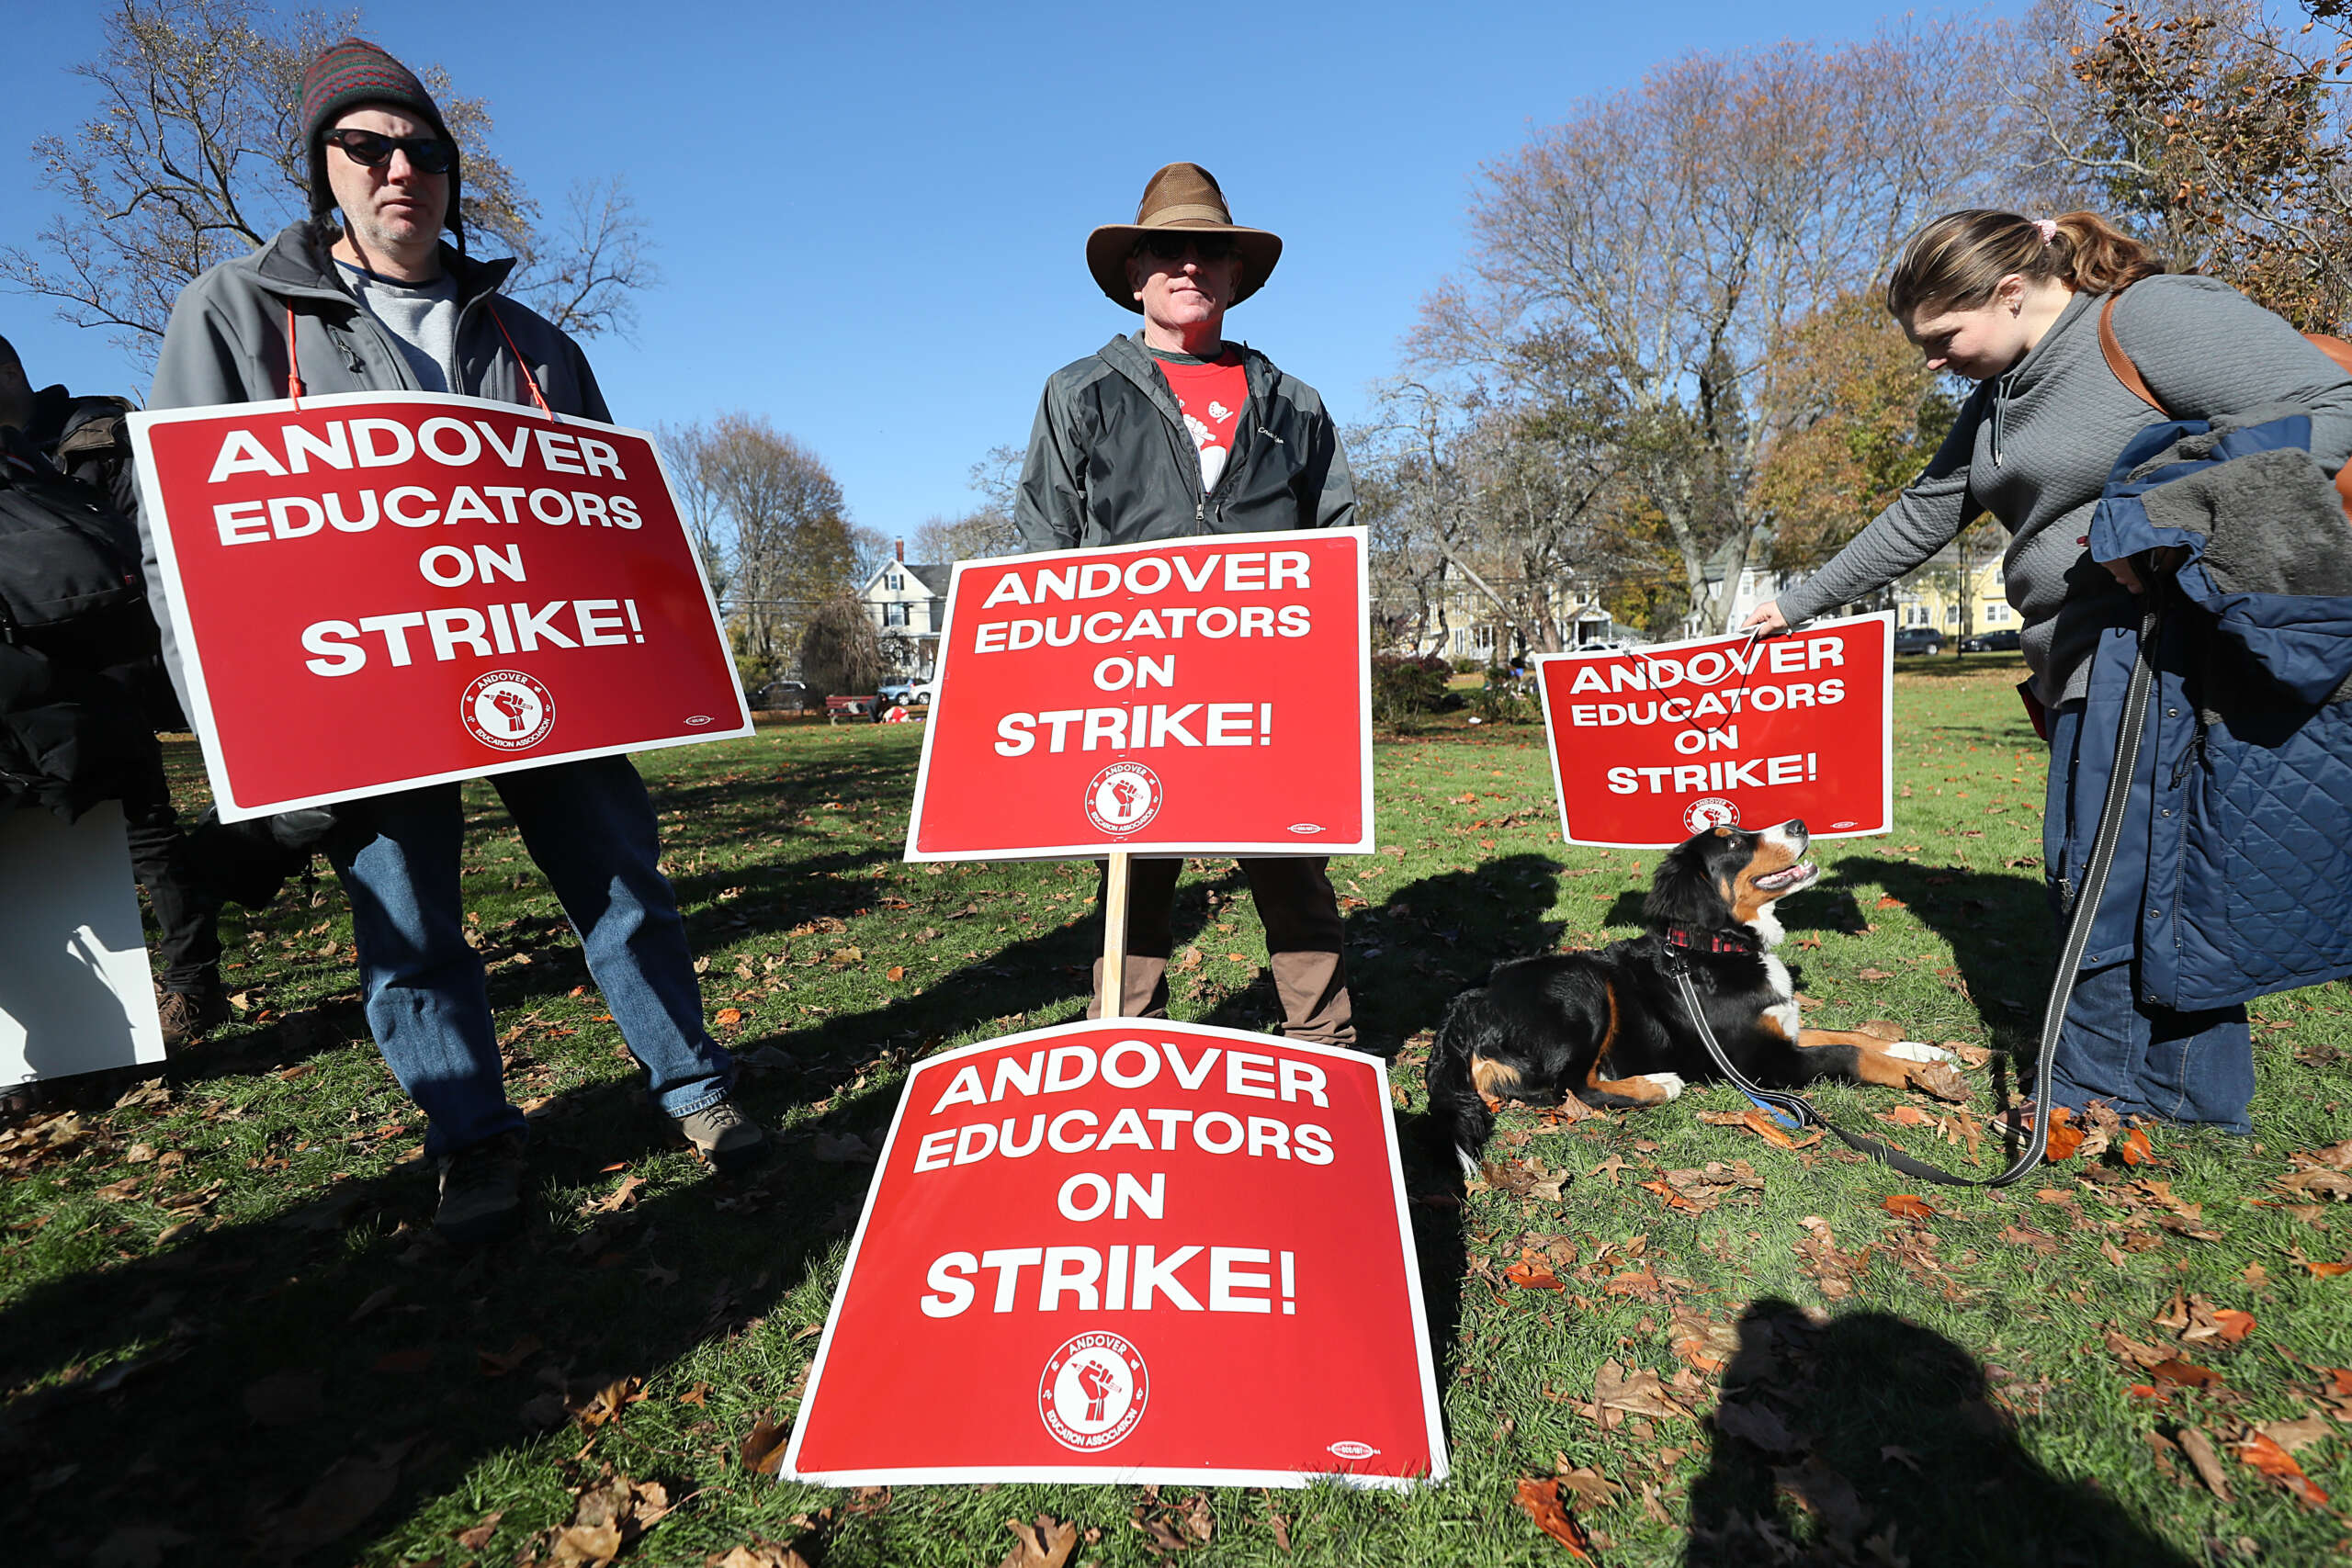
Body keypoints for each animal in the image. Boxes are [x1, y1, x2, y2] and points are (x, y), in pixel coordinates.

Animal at [1420, 822, 1956, 1175]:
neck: (1716, 948)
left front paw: (1926, 1054)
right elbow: (1850, 1053)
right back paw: (1657, 1085)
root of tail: (1466, 1002)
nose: (1800, 823)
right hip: (1583, 987)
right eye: (1735, 841)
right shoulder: (1765, 1064)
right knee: (1572, 1088)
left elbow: (1855, 1034)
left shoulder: (1782, 1030)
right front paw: (1922, 1078)